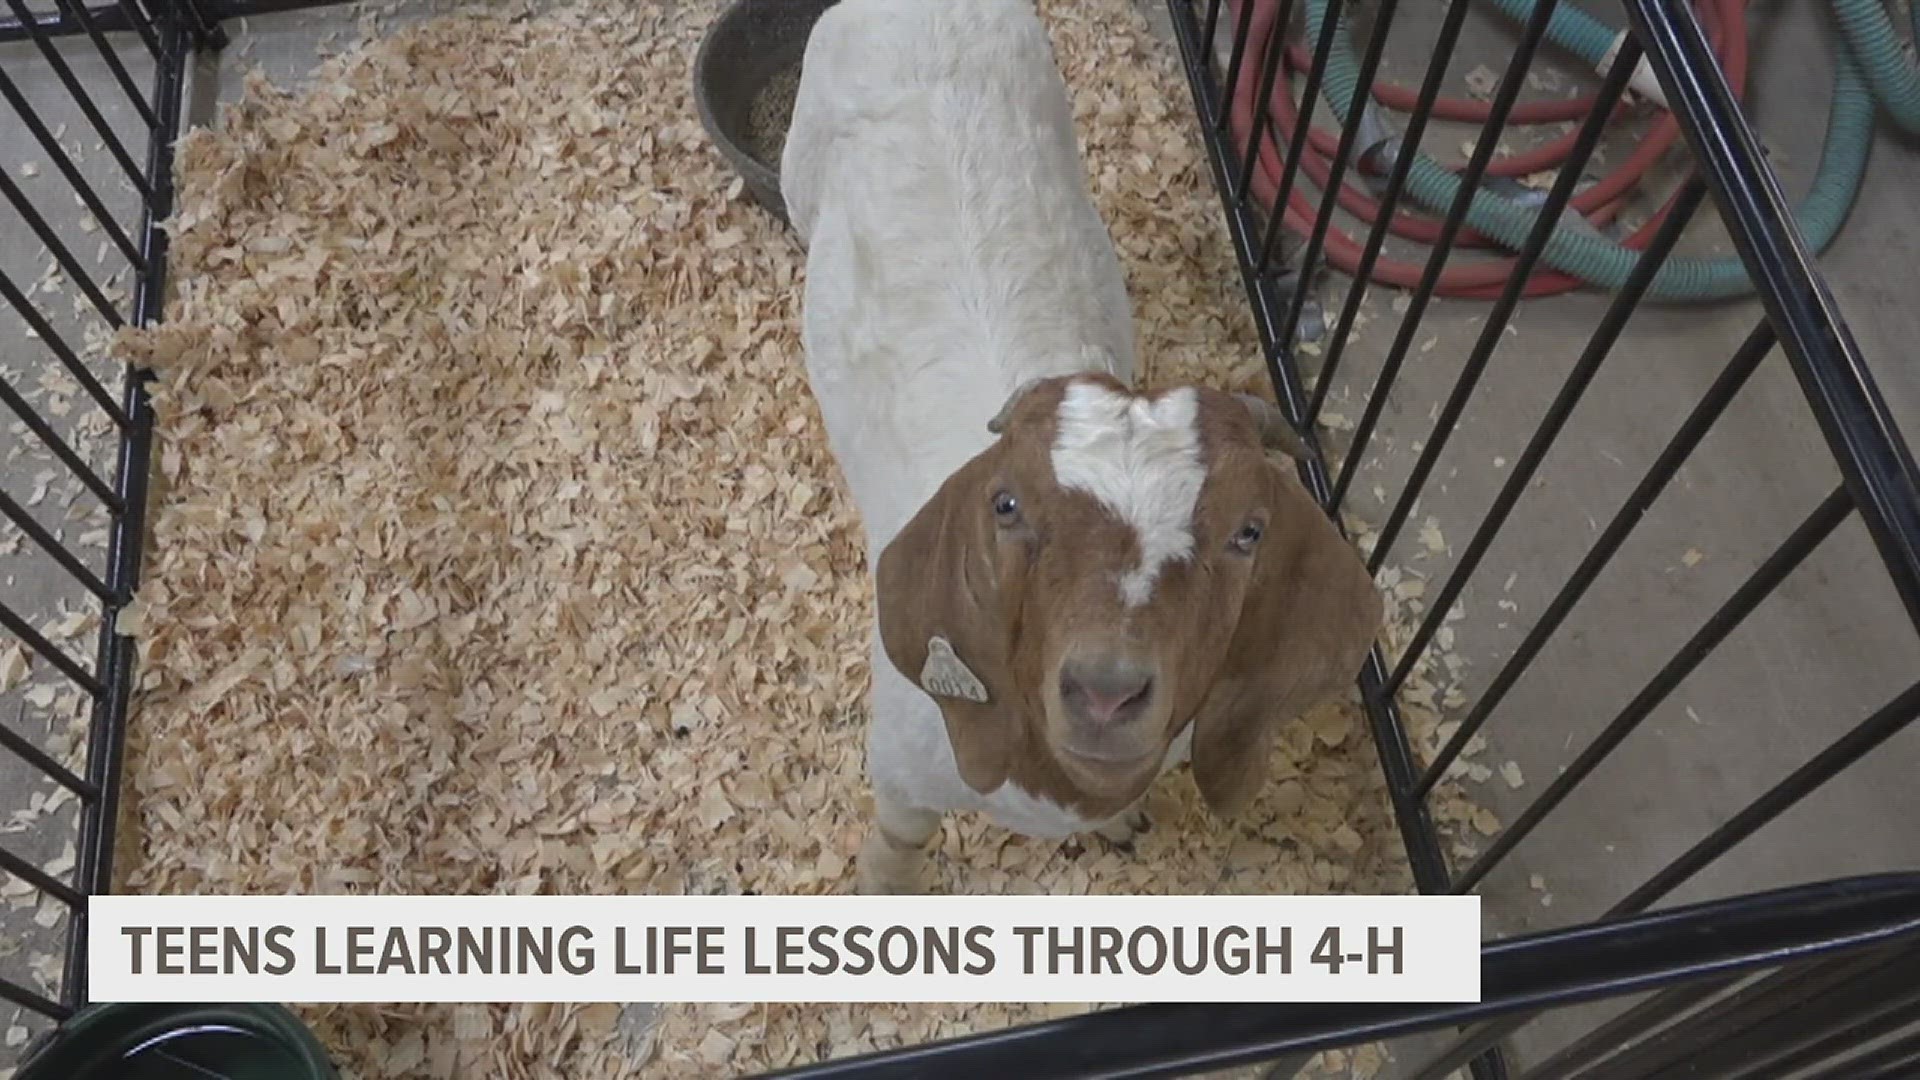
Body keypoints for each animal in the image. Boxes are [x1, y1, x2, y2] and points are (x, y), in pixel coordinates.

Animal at [779, 0, 1382, 891]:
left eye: (1250, 530)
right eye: (1007, 505)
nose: (1106, 690)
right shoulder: (902, 762)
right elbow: (901, 832)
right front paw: (880, 887)